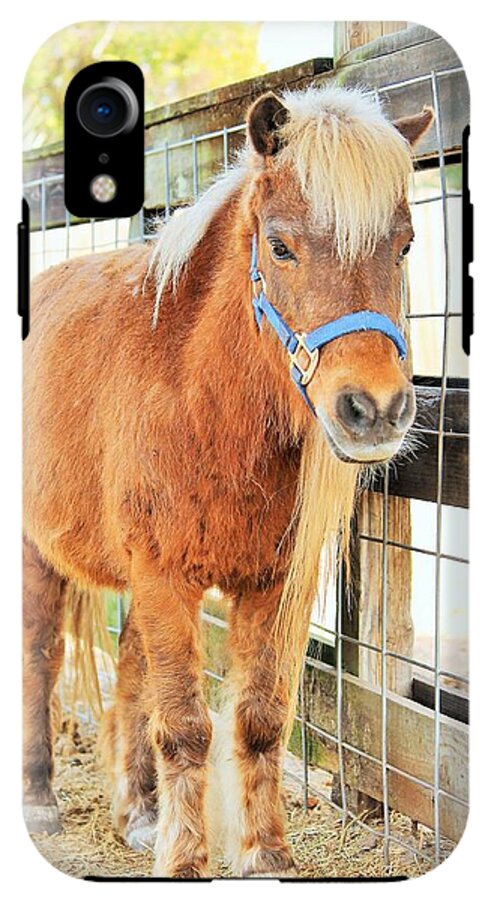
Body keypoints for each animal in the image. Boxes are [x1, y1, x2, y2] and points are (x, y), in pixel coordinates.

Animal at [23, 83, 433, 877]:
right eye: (279, 246)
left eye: (402, 245)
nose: (374, 410)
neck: (200, 398)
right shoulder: (162, 575)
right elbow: (185, 725)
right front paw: (186, 861)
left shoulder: (268, 585)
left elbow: (258, 720)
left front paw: (264, 855)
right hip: (41, 554)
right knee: (39, 657)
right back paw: (38, 799)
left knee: (129, 673)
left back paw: (138, 812)